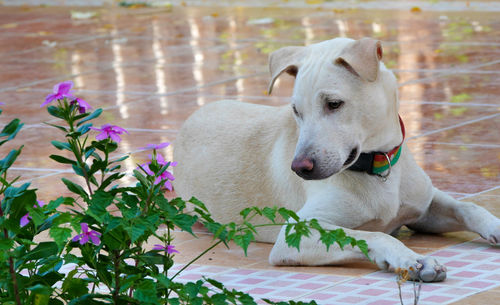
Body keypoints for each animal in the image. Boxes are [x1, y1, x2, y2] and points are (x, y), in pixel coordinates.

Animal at [173, 37, 500, 280]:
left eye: (334, 104)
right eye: (296, 111)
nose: (300, 168)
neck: (377, 167)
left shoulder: (424, 206)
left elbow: (469, 207)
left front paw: (495, 226)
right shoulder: (295, 234)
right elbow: (374, 235)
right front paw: (411, 260)